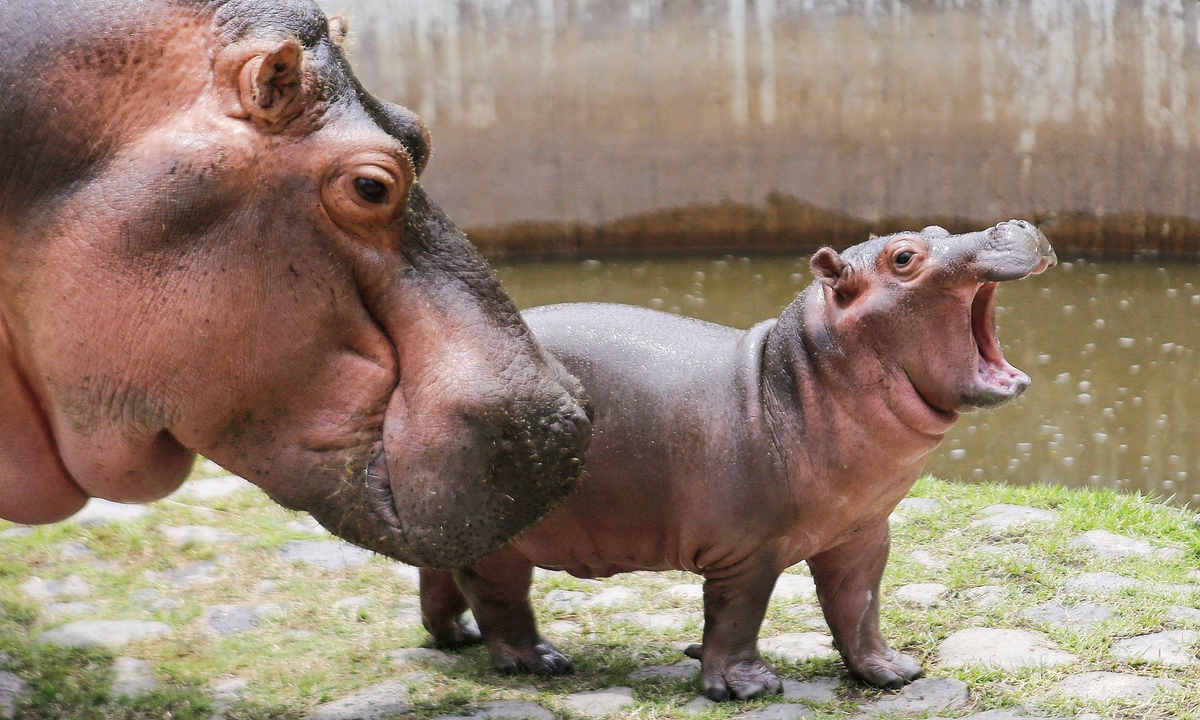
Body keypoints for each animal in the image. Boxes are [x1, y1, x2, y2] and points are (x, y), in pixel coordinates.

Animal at [417, 222, 1056, 700]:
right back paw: (539, 661)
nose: (1018, 223)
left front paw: (893, 672)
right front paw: (747, 687)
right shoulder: (747, 553)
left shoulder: (863, 534)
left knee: (439, 575)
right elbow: (737, 616)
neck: (797, 378)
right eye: (904, 257)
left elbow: (859, 607)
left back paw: (457, 636)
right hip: (503, 538)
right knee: (498, 595)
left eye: (937, 230)